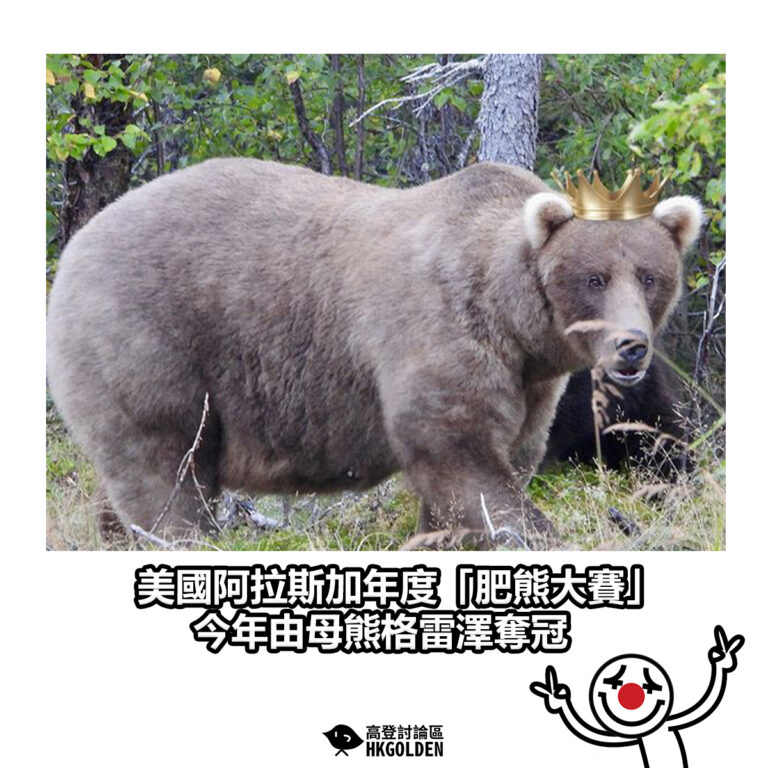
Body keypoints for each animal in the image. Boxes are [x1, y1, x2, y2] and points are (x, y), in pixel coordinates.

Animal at [46, 159, 702, 549]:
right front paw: (536, 534)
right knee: (166, 471)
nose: (631, 347)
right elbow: (457, 449)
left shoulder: (530, 380)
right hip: (150, 339)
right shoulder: (439, 328)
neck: (513, 318)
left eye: (649, 277)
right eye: (594, 277)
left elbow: (507, 455)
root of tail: (77, 242)